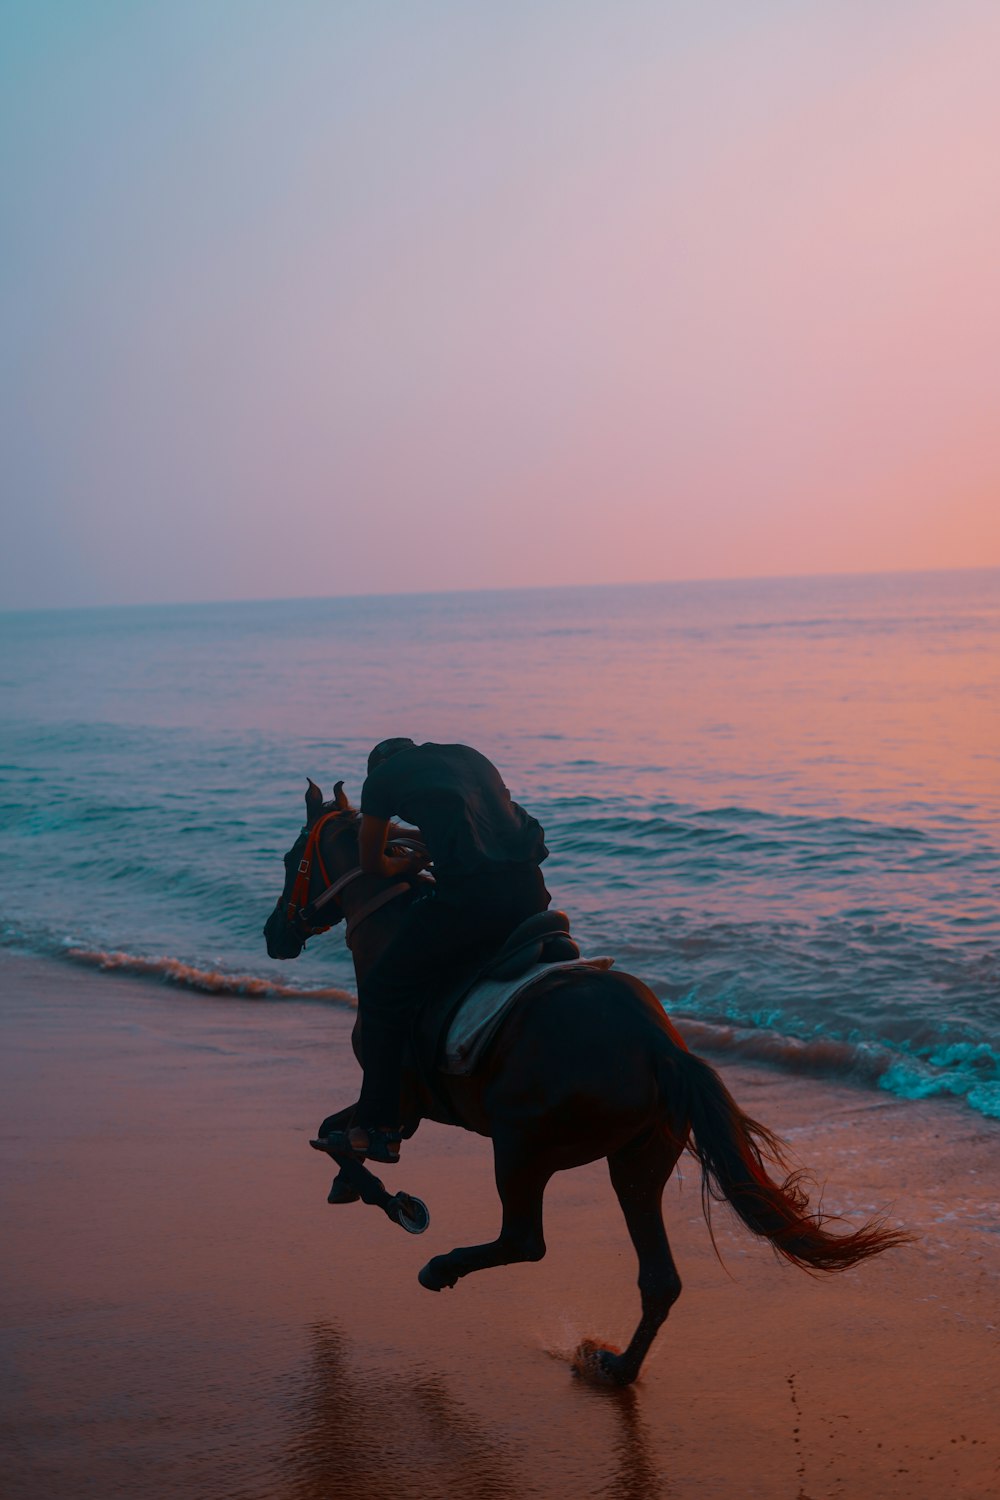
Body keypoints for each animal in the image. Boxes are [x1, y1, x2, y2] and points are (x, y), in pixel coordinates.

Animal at [263, 780, 905, 1386]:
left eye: (292, 857)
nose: (275, 934)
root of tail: (659, 1047)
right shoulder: (409, 1110)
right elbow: (330, 1134)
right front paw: (356, 1185)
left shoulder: (397, 1104)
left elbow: (339, 1137)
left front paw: (383, 1196)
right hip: (636, 1163)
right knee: (659, 1277)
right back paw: (617, 1367)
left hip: (521, 1147)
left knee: (525, 1241)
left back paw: (441, 1267)